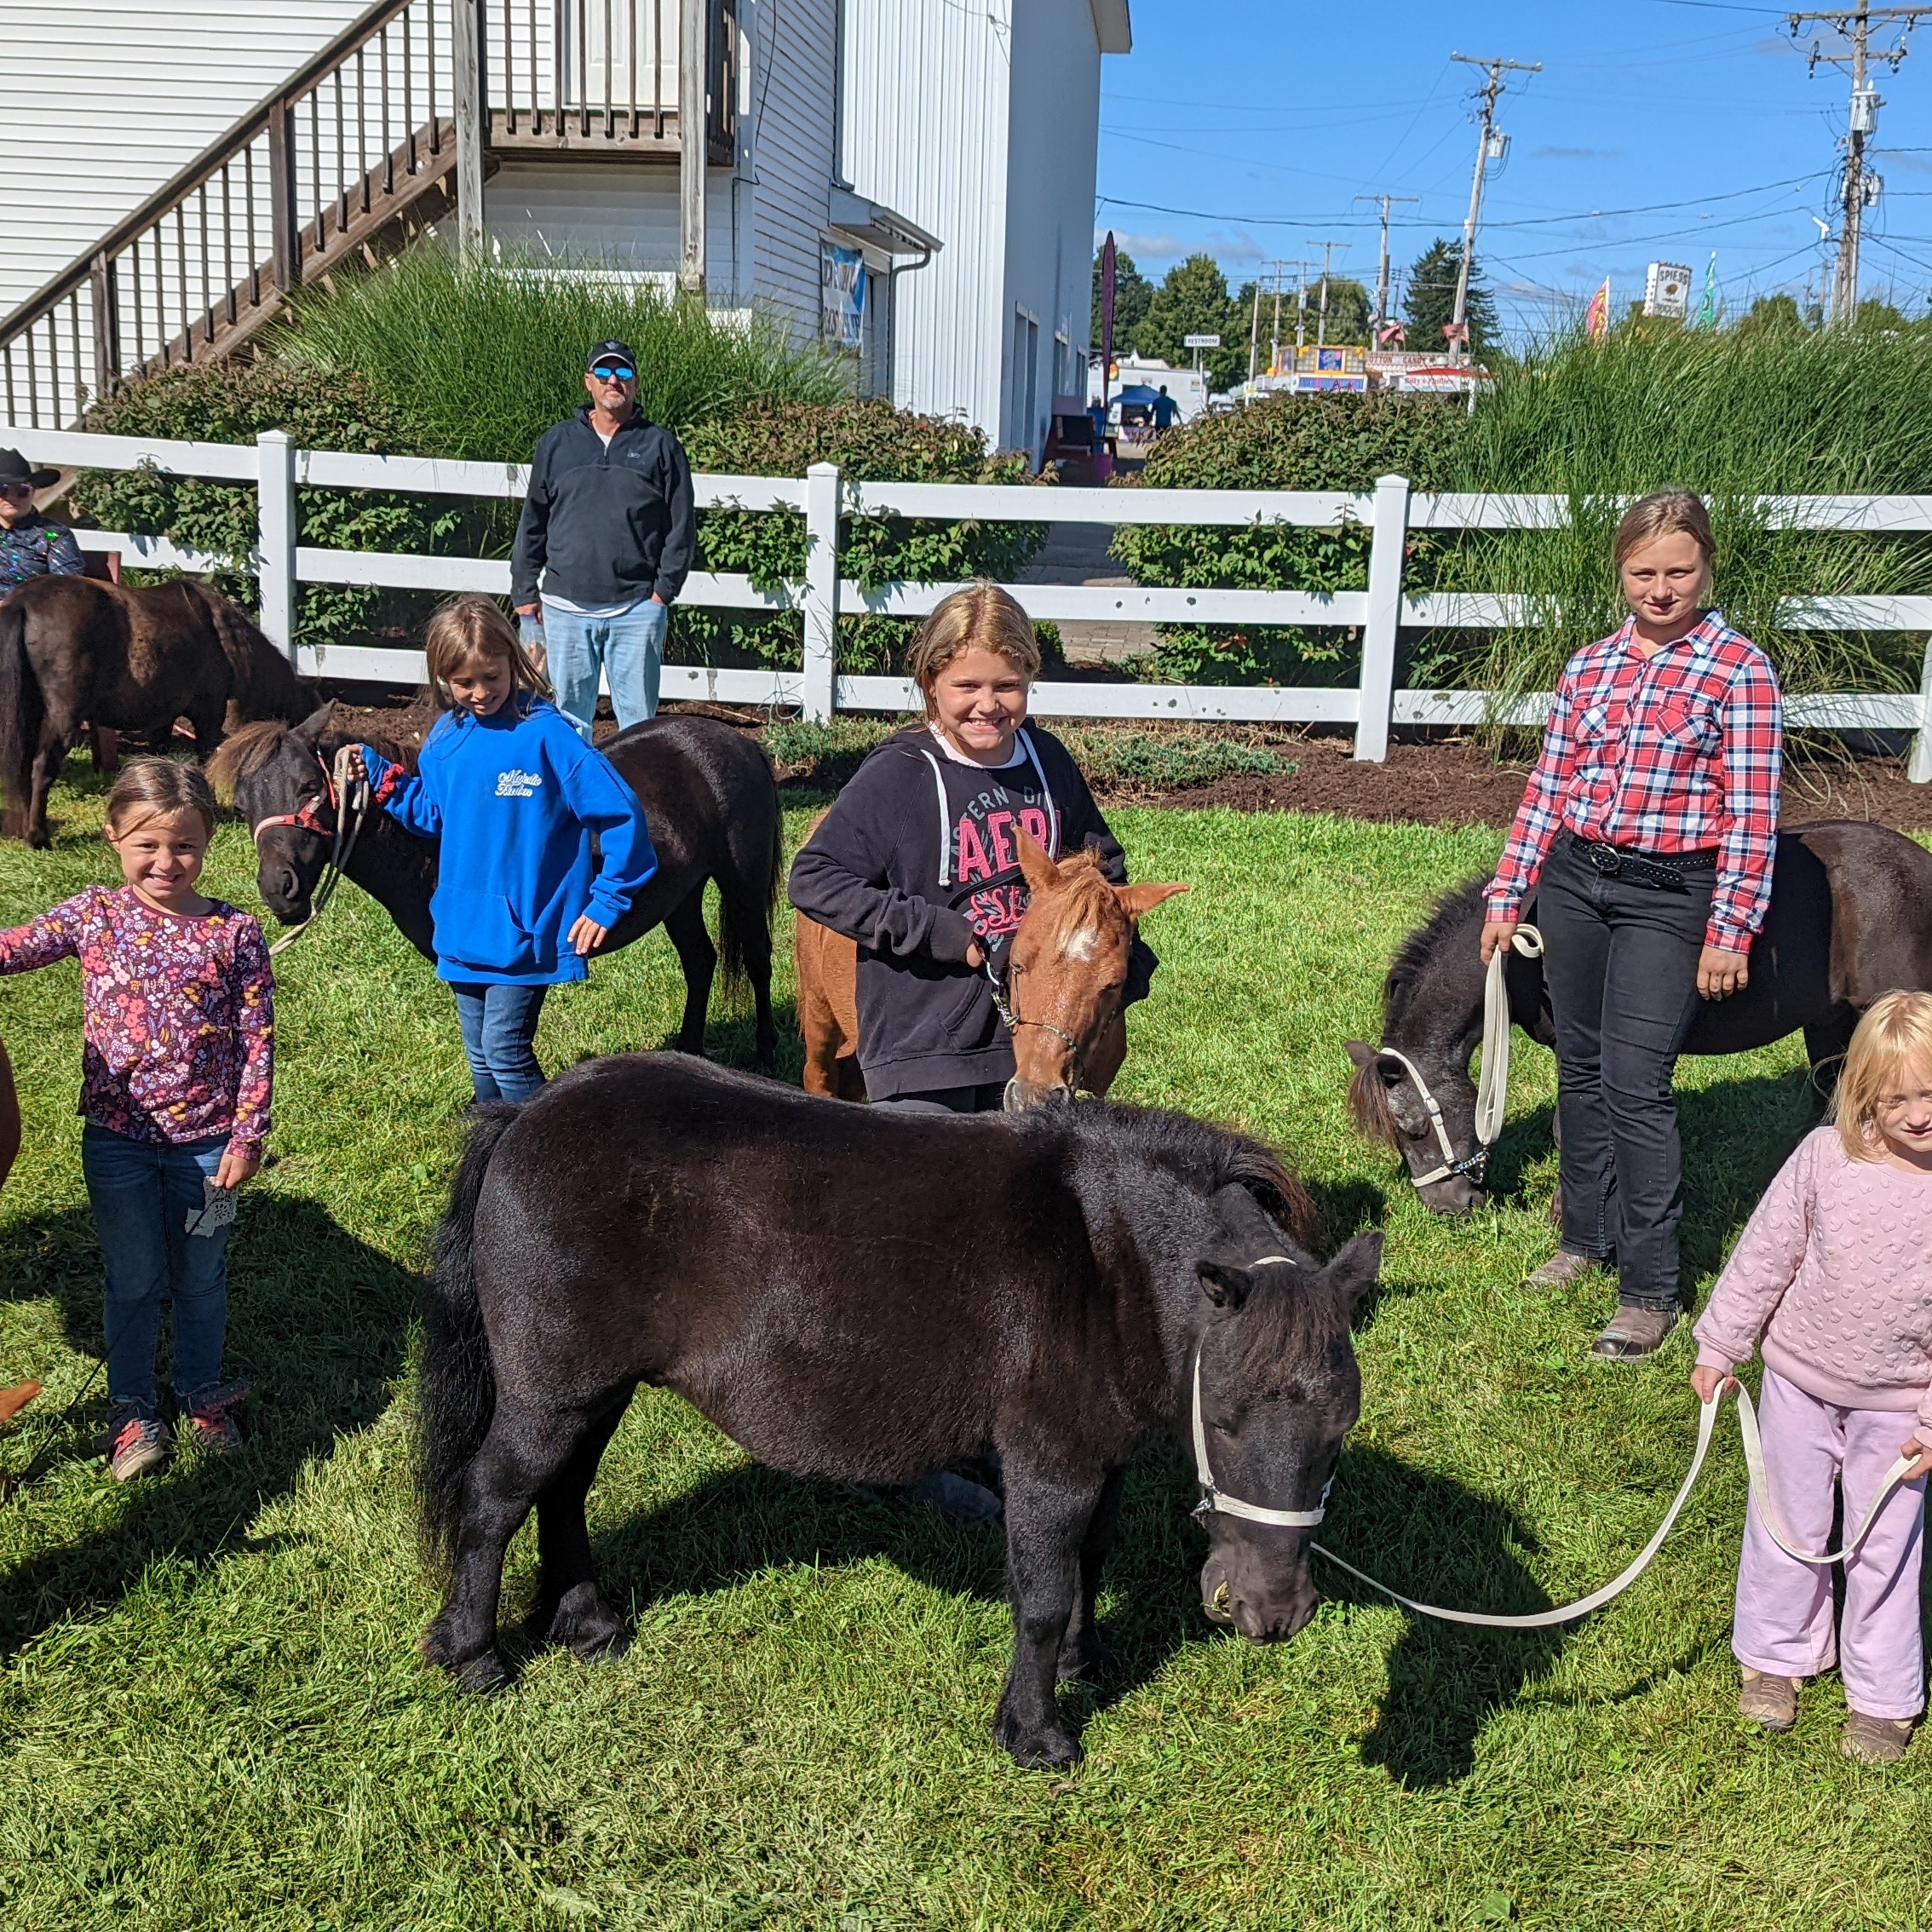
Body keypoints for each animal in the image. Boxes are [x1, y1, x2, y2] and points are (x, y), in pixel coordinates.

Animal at [1, 572, 308, 846]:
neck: (226, 641)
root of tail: (23, 602)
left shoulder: (163, 718)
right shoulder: (209, 716)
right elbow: (206, 759)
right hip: (64, 715)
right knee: (42, 766)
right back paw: (37, 837)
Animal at [415, 1058, 1383, 1769]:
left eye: (1339, 1435)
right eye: (1224, 1418)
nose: (1273, 1615)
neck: (1110, 1262)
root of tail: (527, 1113)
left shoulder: (1099, 1461)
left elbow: (1088, 1565)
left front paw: (1082, 1662)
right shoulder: (1050, 1467)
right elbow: (1040, 1595)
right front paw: (1035, 1733)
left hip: (594, 1393)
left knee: (563, 1494)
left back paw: (587, 1623)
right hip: (550, 1393)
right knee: (495, 1500)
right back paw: (473, 1654)